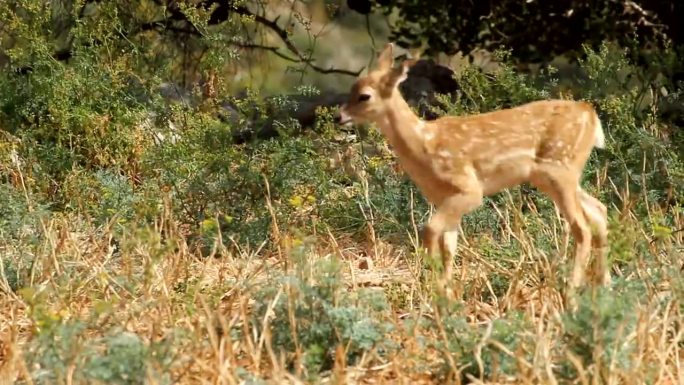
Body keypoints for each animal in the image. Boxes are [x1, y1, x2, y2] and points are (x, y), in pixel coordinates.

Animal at [340, 42, 612, 304]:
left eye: (364, 96)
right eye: (351, 89)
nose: (338, 116)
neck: (424, 146)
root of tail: (591, 116)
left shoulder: (469, 189)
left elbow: (430, 230)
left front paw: (434, 290)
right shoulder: (444, 198)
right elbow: (449, 247)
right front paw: (447, 296)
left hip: (559, 168)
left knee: (582, 227)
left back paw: (572, 291)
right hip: (555, 176)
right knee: (599, 210)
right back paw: (604, 285)